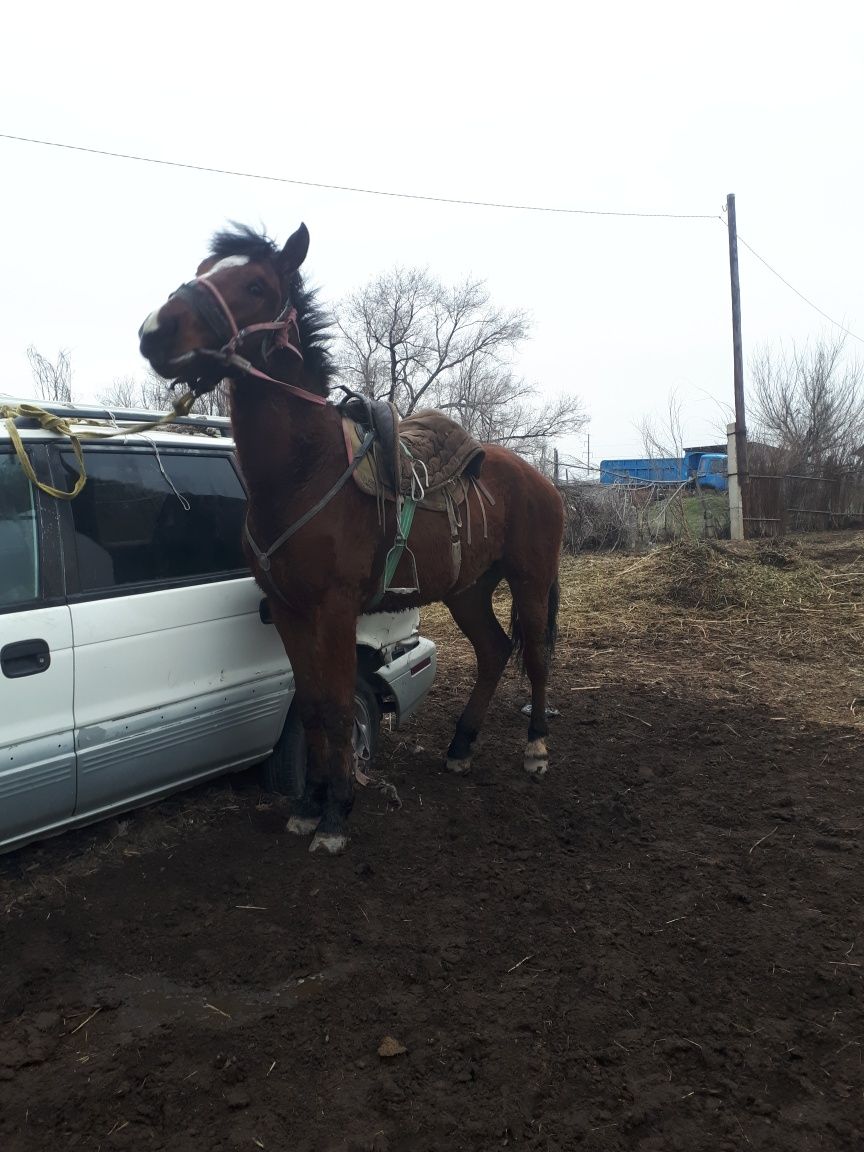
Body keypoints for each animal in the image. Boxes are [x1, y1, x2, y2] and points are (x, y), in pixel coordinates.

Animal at [138, 224, 564, 857]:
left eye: (256, 285)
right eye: (202, 270)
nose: (154, 332)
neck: (303, 474)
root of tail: (541, 479)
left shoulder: (336, 609)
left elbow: (340, 709)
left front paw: (337, 814)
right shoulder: (288, 610)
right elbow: (313, 707)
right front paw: (308, 805)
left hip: (531, 580)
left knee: (534, 653)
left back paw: (535, 749)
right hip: (467, 589)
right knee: (493, 650)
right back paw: (460, 748)